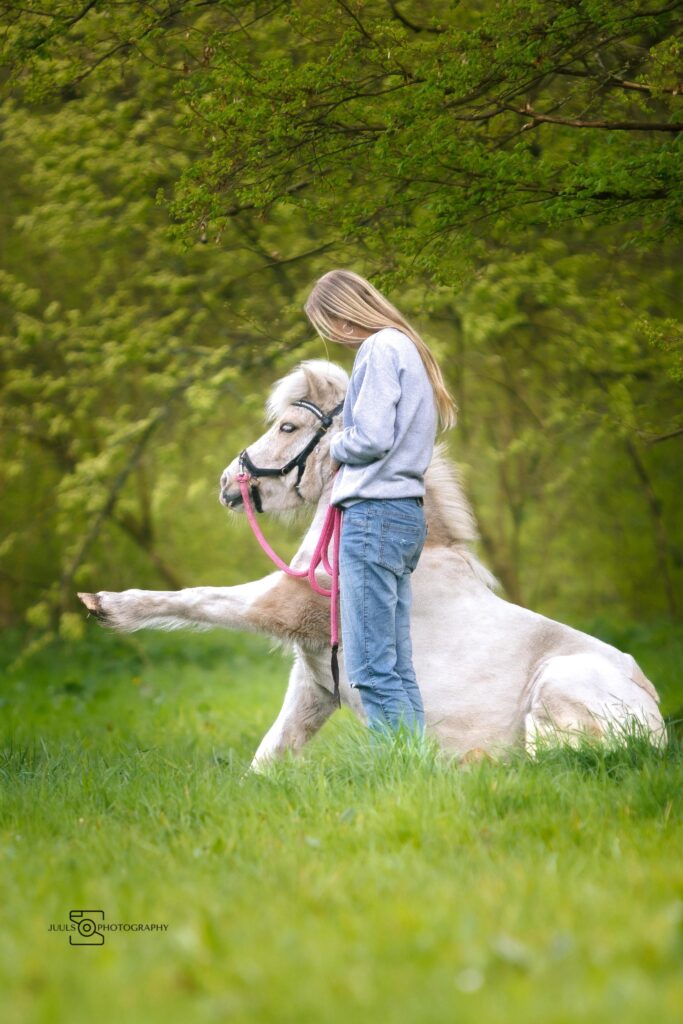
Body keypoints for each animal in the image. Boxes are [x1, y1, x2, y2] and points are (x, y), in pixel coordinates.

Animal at [78, 359, 665, 771]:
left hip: (555, 686)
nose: (228, 482)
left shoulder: (279, 603)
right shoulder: (315, 685)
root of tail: (655, 729)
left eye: (288, 427)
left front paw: (106, 606)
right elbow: (269, 756)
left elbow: (194, 599)